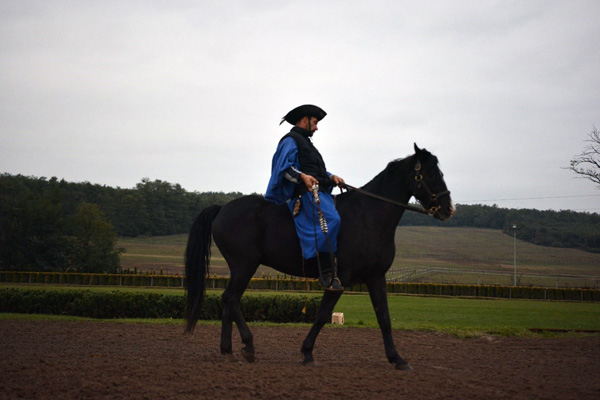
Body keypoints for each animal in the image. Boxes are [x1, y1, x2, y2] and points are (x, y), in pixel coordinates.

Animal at [185, 143, 452, 368]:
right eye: (429, 174)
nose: (448, 209)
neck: (369, 216)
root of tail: (222, 208)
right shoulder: (340, 278)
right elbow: (323, 314)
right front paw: (307, 352)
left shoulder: (376, 277)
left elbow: (384, 318)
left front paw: (397, 358)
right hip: (244, 266)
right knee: (231, 299)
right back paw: (248, 346)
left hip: (241, 268)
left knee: (228, 301)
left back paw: (228, 351)